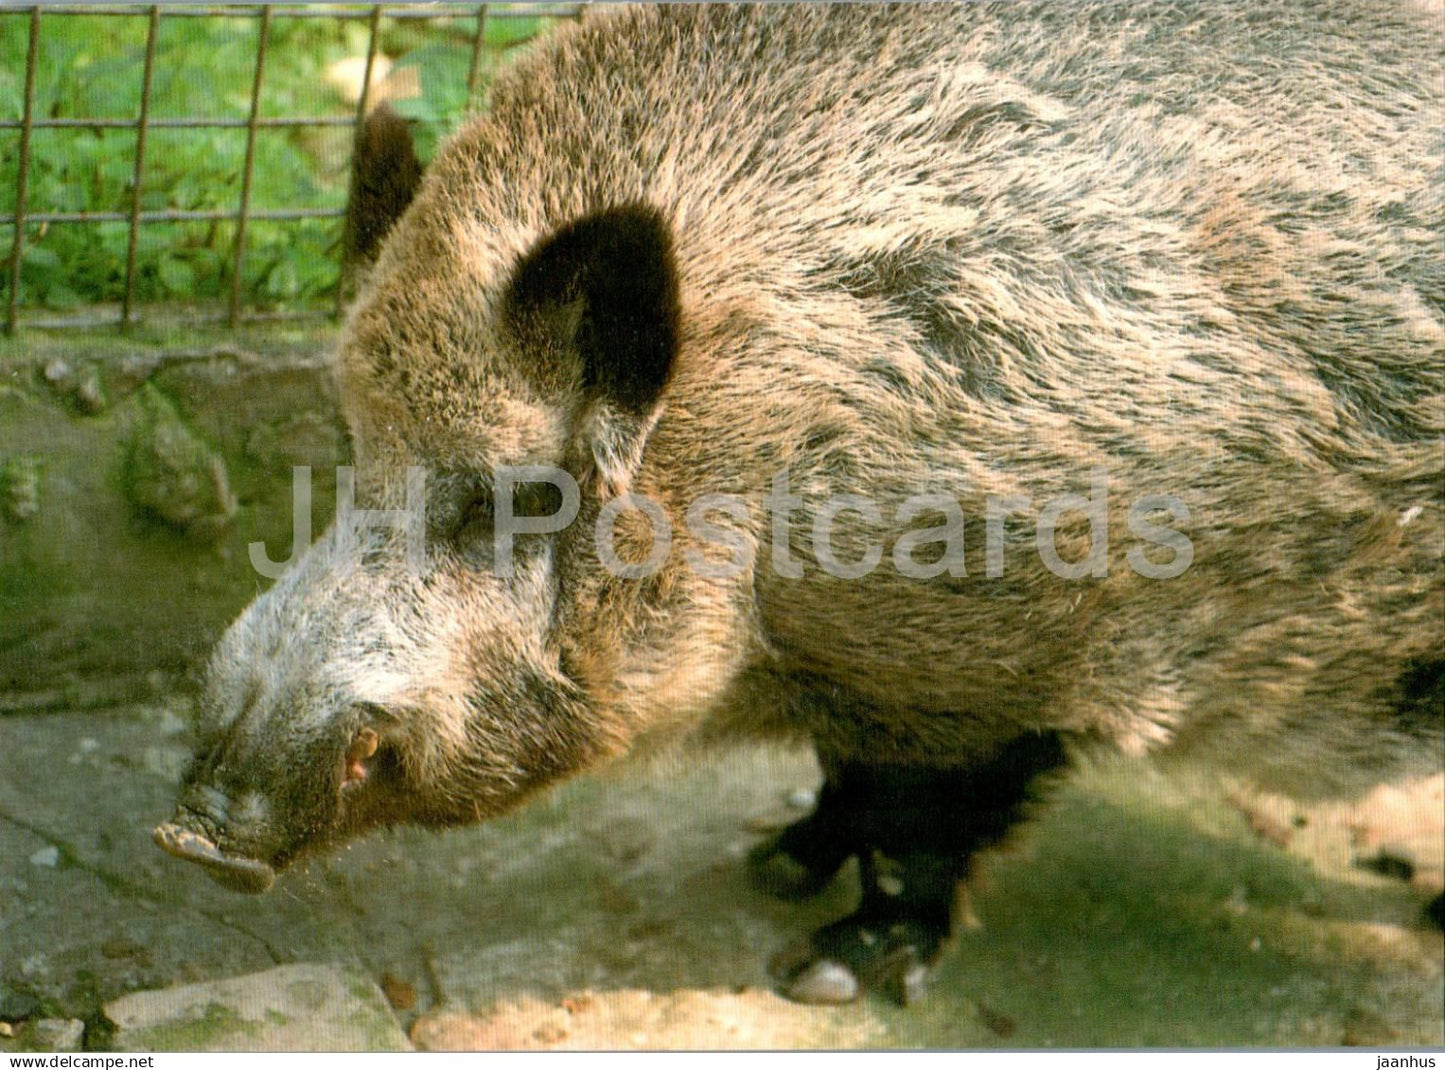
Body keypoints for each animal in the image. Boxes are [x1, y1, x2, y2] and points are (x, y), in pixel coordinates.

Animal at [155, 2, 1444, 1004]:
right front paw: (773, 860)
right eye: (352, 449)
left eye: (520, 495)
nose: (190, 824)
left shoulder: (990, 663)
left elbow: (923, 819)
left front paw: (821, 969)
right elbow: (845, 780)